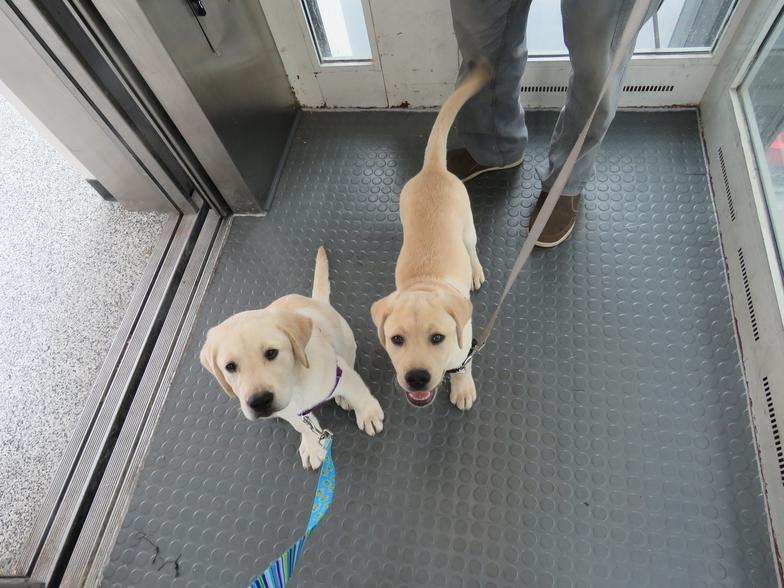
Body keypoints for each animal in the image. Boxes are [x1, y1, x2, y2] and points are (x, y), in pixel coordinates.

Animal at [201, 248, 384, 468]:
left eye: (271, 353)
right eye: (230, 366)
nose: (259, 401)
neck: (296, 384)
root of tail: (317, 301)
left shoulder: (341, 374)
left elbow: (358, 394)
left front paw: (368, 414)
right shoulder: (291, 411)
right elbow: (302, 425)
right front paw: (312, 445)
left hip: (347, 342)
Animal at [370, 64, 490, 408]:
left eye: (437, 338)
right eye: (396, 339)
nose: (416, 377)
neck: (425, 283)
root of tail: (432, 169)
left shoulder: (465, 344)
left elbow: (463, 366)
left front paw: (462, 387)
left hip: (468, 227)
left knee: (472, 248)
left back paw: (475, 270)